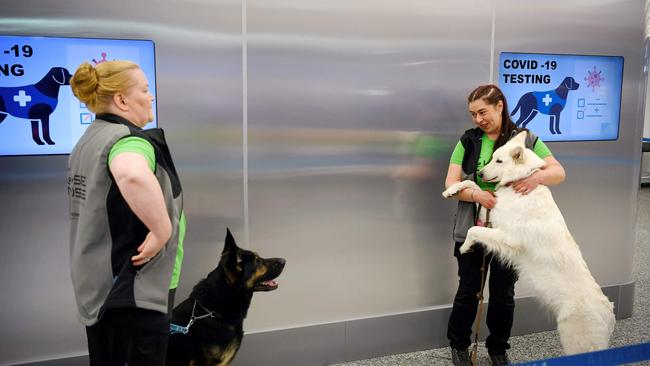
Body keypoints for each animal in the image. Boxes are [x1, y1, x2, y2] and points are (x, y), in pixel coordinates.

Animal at [440, 132, 612, 354]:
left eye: (499, 161)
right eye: (492, 157)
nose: (479, 172)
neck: (518, 180)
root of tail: (609, 313)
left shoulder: (508, 237)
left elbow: (473, 229)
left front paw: (465, 246)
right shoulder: (492, 208)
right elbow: (475, 188)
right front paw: (452, 190)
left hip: (574, 342)